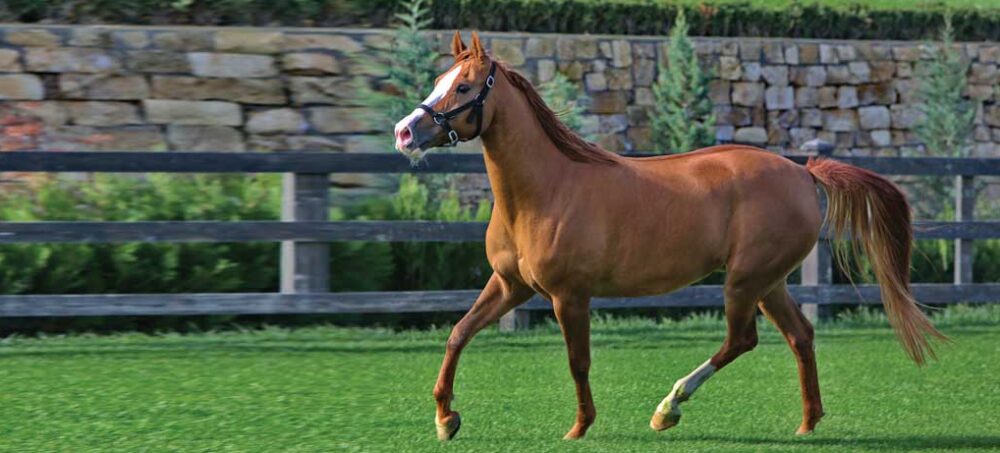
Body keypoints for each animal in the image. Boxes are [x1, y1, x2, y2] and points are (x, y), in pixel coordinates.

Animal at [392, 32, 944, 442]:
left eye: (465, 87)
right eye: (440, 80)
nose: (404, 133)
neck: (545, 190)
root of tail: (803, 172)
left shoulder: (570, 296)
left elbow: (578, 361)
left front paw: (579, 428)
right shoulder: (511, 286)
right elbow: (458, 333)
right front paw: (446, 421)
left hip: (744, 281)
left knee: (742, 339)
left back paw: (669, 407)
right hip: (770, 282)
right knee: (800, 336)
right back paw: (807, 423)